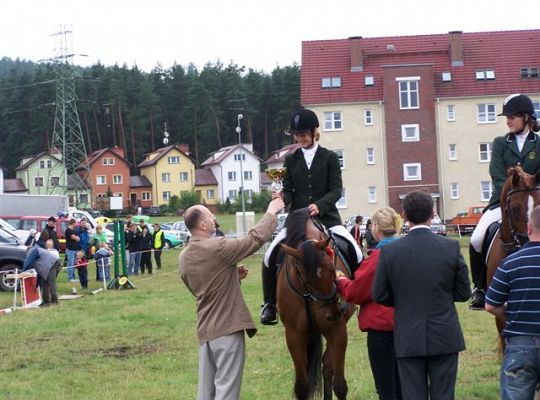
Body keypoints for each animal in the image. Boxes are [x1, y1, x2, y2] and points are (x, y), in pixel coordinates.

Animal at [276, 209, 356, 400]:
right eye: (306, 279)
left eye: (333, 269)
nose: (335, 313)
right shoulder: (294, 334)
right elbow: (302, 386)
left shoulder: (338, 329)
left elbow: (340, 386)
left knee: (327, 366)